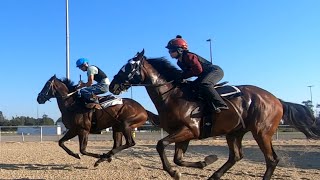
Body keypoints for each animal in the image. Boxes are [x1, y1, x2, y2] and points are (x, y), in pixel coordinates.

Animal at [108, 49, 320, 180]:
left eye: (129, 67)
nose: (113, 85)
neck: (172, 96)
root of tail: (276, 99)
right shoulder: (183, 134)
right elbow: (177, 158)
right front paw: (205, 161)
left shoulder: (190, 130)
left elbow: (161, 145)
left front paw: (175, 172)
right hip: (234, 132)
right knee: (236, 157)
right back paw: (214, 175)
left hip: (262, 132)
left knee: (271, 160)